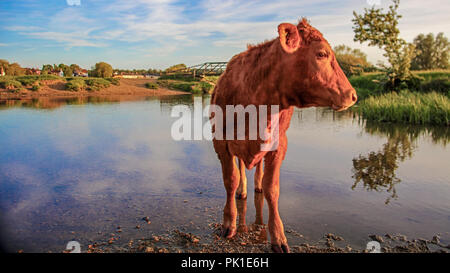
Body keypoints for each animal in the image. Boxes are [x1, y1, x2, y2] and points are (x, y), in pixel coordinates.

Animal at [212, 18, 358, 253]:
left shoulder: (279, 145)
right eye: (322, 54)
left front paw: (279, 237)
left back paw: (256, 186)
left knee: (257, 171)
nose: (353, 95)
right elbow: (230, 179)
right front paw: (228, 224)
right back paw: (243, 190)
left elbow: (272, 189)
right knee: (242, 167)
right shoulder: (221, 142)